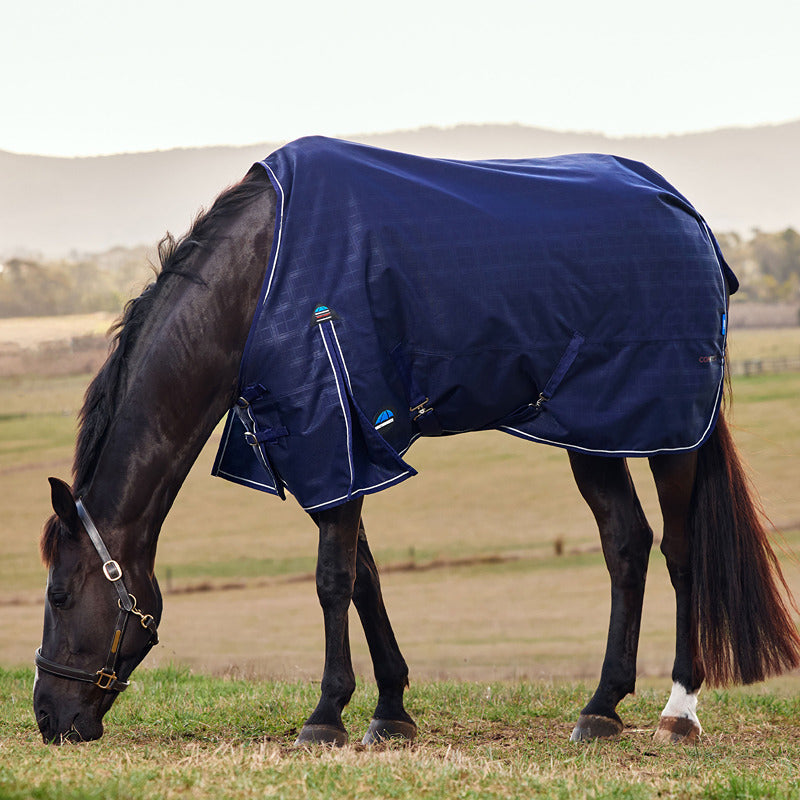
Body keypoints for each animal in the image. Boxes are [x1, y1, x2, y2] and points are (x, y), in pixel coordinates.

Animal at [34, 137, 800, 745]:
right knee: (626, 545)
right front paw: (390, 710)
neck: (258, 283)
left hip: (668, 433)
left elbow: (331, 579)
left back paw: (679, 713)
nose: (48, 717)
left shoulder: (332, 436)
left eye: (61, 596)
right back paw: (601, 709)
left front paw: (325, 716)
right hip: (595, 429)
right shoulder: (340, 453)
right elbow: (363, 576)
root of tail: (689, 217)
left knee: (679, 550)